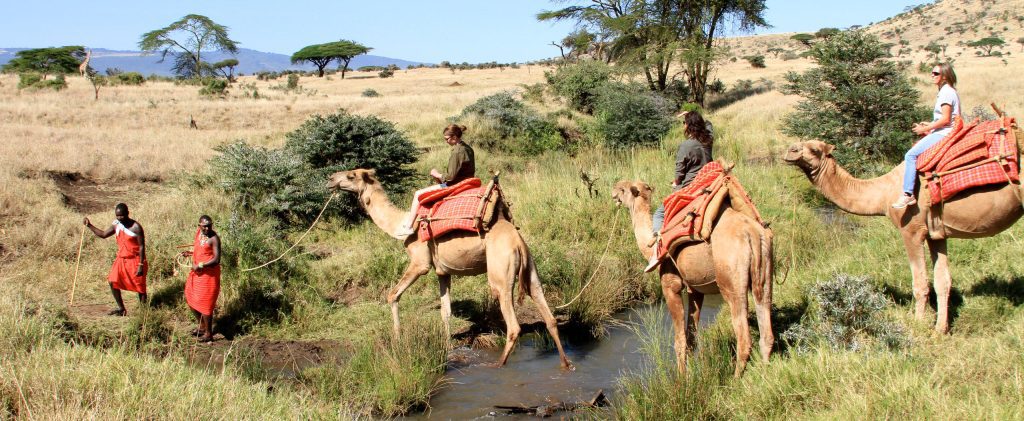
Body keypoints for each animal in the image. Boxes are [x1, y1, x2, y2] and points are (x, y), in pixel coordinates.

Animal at [327, 167, 573, 368]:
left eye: (351, 175)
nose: (330, 179)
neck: (398, 224)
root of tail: (517, 242)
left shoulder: (420, 262)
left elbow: (393, 294)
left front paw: (397, 339)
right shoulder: (443, 272)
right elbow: (446, 311)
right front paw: (446, 344)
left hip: (500, 273)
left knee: (513, 324)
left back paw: (498, 365)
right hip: (531, 270)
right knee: (549, 316)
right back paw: (565, 363)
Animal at [610, 179, 770, 376]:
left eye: (622, 189)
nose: (613, 193)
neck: (651, 246)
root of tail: (752, 234)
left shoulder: (671, 285)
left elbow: (680, 340)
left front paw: (681, 379)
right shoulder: (695, 289)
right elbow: (691, 337)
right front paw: (692, 374)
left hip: (731, 278)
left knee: (744, 337)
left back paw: (736, 379)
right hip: (765, 267)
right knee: (766, 330)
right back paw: (764, 375)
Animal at [782, 140, 1024, 333]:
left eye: (814, 149)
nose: (789, 151)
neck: (883, 195)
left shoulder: (912, 230)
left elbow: (920, 284)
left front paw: (917, 325)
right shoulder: (937, 235)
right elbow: (942, 281)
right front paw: (940, 330)